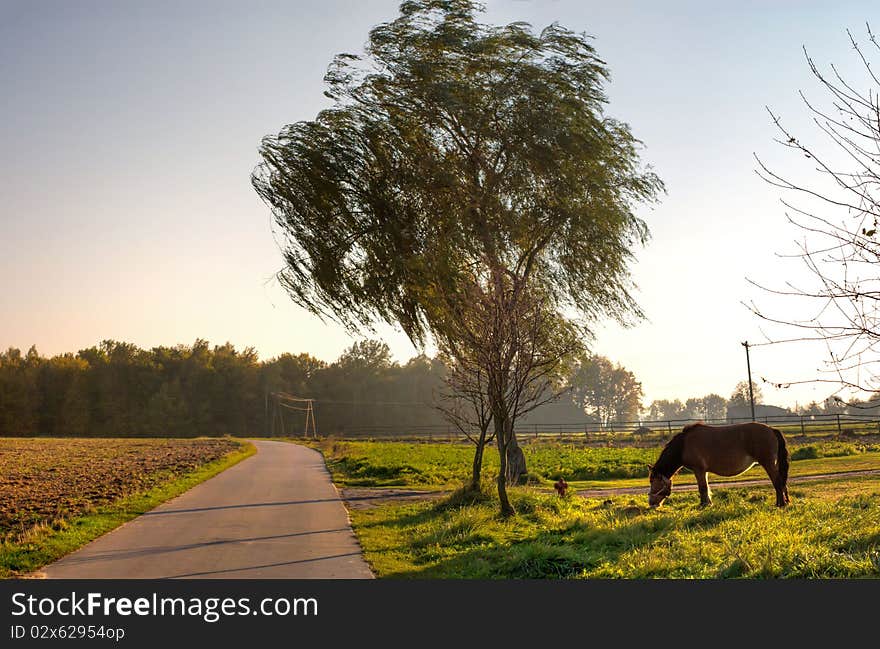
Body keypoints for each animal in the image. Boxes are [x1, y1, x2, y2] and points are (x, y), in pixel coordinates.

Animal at [648, 422, 792, 508]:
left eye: (654, 482)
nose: (651, 503)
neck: (684, 445)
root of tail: (771, 429)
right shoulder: (704, 471)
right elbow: (706, 487)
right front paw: (708, 503)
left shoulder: (698, 470)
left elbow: (702, 488)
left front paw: (703, 505)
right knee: (781, 483)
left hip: (768, 463)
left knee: (777, 482)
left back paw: (780, 504)